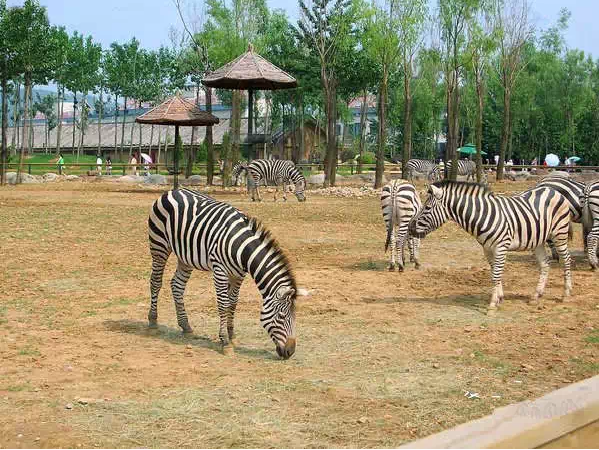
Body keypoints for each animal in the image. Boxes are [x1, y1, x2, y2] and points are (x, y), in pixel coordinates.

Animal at [148, 189, 298, 358]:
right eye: (282, 316)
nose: (290, 351)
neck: (241, 248)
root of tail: (172, 191)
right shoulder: (220, 270)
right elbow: (223, 304)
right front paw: (225, 341)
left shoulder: (239, 274)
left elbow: (233, 303)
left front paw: (232, 335)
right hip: (159, 245)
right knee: (155, 281)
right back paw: (153, 323)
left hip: (185, 256)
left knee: (177, 285)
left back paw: (185, 326)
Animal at [410, 180, 576, 312]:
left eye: (427, 208)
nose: (411, 228)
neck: (482, 215)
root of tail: (552, 190)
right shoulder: (487, 248)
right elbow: (494, 272)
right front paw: (499, 298)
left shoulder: (501, 247)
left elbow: (496, 273)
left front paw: (492, 304)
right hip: (538, 240)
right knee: (545, 264)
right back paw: (536, 295)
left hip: (559, 234)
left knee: (567, 260)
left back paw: (566, 294)